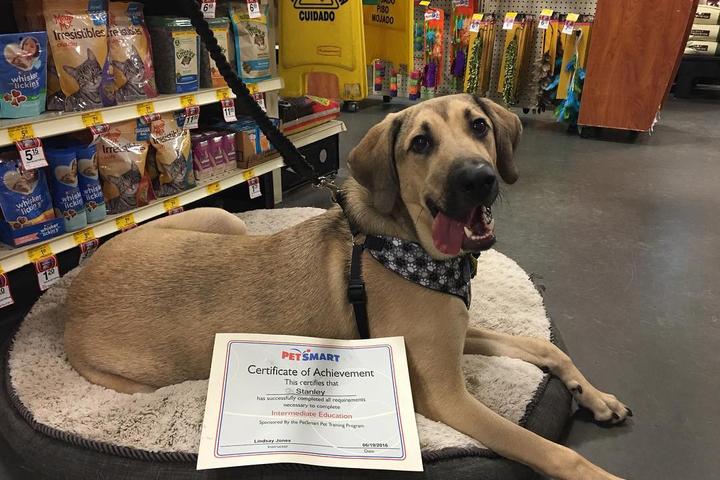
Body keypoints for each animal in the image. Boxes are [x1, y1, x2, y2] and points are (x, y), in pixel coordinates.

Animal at [66, 95, 632, 478]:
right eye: (420, 144)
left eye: (479, 126)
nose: (478, 178)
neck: (408, 244)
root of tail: (70, 291)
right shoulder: (445, 395)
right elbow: (552, 451)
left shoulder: (456, 333)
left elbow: (543, 346)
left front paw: (595, 396)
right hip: (140, 379)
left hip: (225, 222)